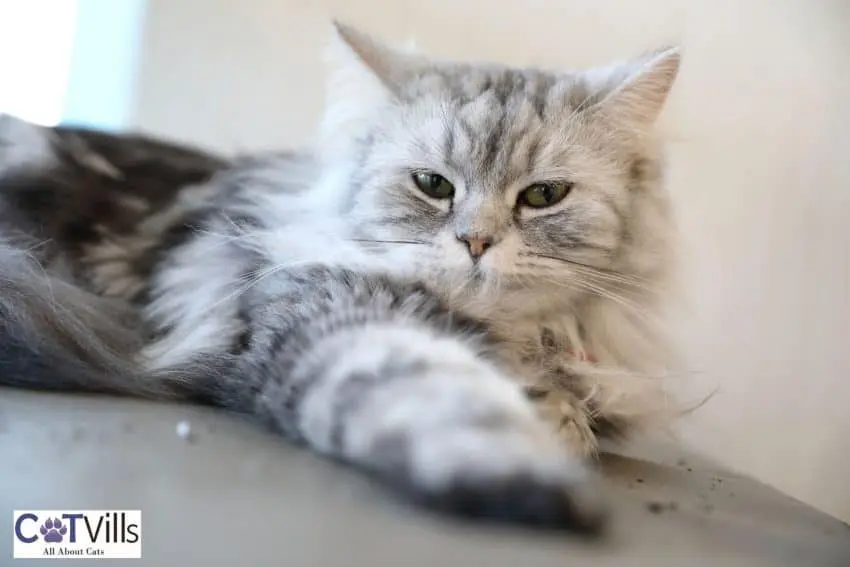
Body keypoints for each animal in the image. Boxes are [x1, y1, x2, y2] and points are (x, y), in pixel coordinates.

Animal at [0, 22, 680, 536]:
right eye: (432, 185)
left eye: (542, 196)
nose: (476, 242)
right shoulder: (327, 314)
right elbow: (431, 393)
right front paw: (529, 477)